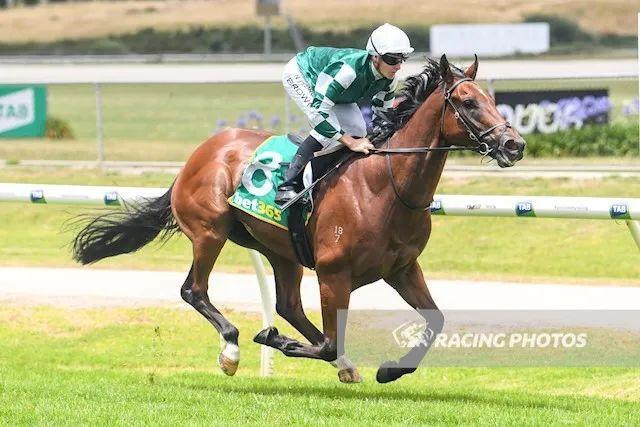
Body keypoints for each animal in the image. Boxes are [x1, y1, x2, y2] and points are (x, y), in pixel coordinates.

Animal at [72, 55, 525, 384]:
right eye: (468, 102)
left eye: (491, 100)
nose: (514, 144)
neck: (384, 185)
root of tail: (198, 155)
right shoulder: (333, 273)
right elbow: (327, 342)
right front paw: (272, 338)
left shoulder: (402, 267)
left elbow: (436, 320)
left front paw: (391, 370)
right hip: (209, 232)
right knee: (194, 290)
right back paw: (233, 349)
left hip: (281, 251)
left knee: (287, 305)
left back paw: (339, 362)